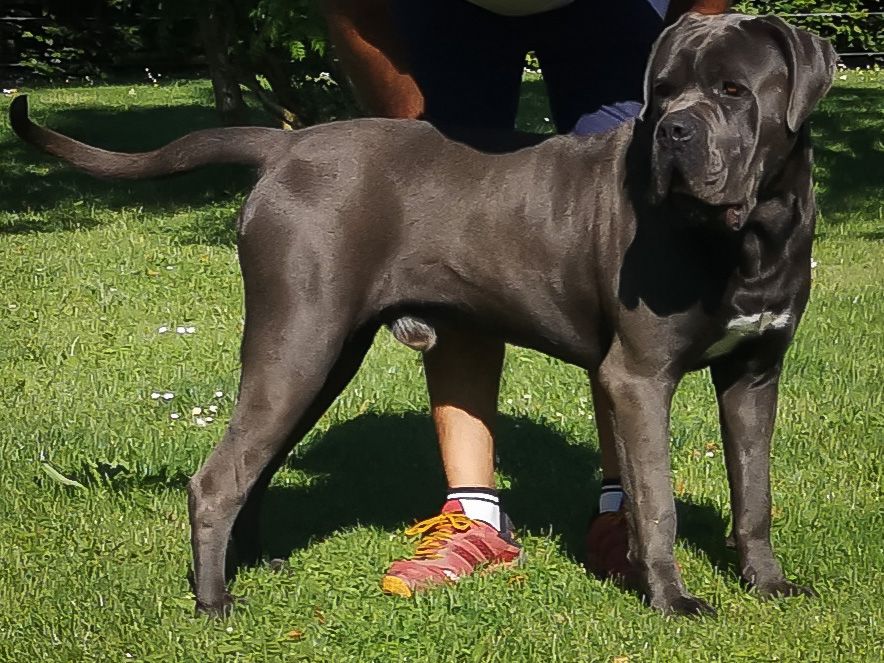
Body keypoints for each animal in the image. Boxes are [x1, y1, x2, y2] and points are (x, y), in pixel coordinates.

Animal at [8, 11, 836, 616]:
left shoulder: (755, 374)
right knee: (218, 476)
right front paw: (670, 599)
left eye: (733, 91)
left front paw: (767, 582)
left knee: (256, 465)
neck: (749, 233)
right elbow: (657, 504)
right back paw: (215, 601)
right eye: (662, 92)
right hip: (298, 340)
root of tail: (286, 147)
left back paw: (257, 560)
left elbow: (754, 493)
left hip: (322, 354)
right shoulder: (637, 377)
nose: (671, 132)